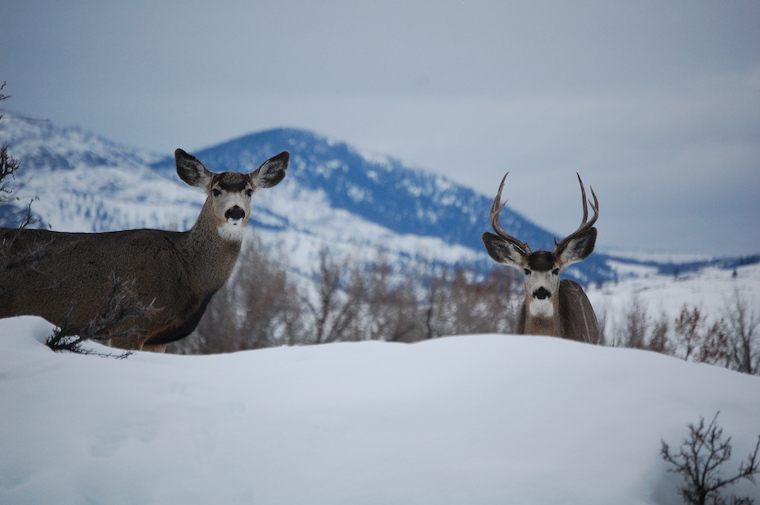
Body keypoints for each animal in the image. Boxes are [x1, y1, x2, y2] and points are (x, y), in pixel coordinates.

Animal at [0, 148, 289, 352]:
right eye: (216, 190)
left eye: (249, 191)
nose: (235, 211)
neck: (187, 271)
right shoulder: (130, 323)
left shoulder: (158, 337)